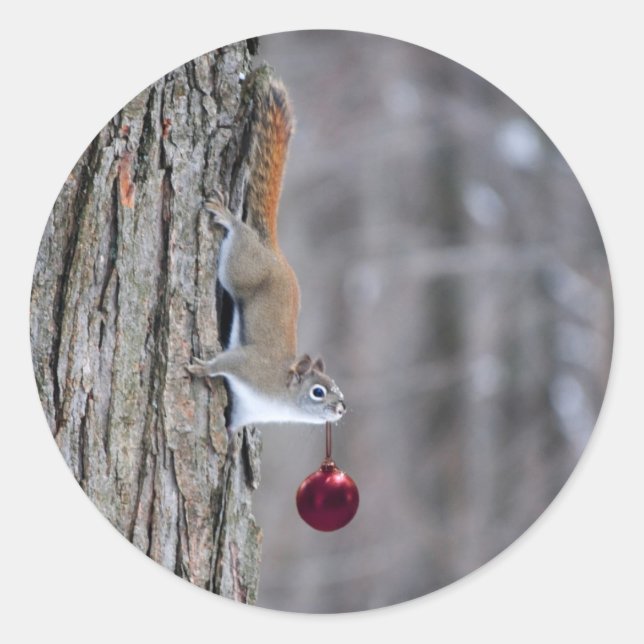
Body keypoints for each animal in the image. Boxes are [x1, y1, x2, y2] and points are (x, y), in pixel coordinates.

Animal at [187, 66, 346, 433]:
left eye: (338, 389)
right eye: (318, 391)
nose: (342, 408)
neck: (281, 400)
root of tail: (273, 251)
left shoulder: (247, 411)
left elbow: (234, 424)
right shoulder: (249, 366)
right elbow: (225, 362)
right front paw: (201, 368)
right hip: (241, 267)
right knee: (240, 238)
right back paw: (229, 217)